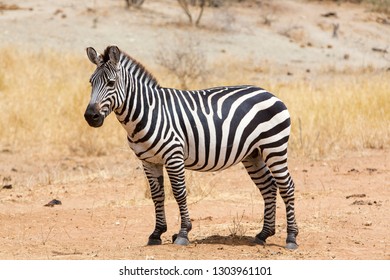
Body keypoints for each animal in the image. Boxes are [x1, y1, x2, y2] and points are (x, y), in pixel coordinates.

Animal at [84, 45, 298, 249]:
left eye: (111, 83)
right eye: (91, 82)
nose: (90, 117)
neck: (148, 112)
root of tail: (269, 93)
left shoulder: (174, 155)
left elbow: (179, 193)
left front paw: (183, 233)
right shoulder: (148, 161)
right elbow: (157, 196)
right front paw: (156, 233)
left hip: (274, 147)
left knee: (286, 186)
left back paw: (291, 237)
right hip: (253, 154)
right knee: (268, 186)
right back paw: (263, 234)